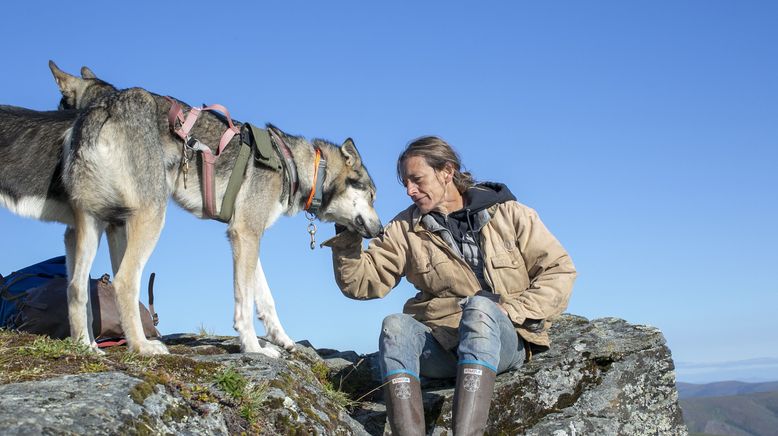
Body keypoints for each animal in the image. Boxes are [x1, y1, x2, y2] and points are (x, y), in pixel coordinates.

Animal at [0, 63, 382, 356]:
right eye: (374, 195)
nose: (380, 230)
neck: (295, 165)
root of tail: (101, 109)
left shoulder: (247, 236)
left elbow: (265, 299)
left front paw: (283, 341)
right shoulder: (245, 234)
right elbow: (244, 302)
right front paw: (253, 348)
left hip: (92, 224)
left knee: (77, 287)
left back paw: (88, 347)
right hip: (149, 217)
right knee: (124, 282)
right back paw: (143, 348)